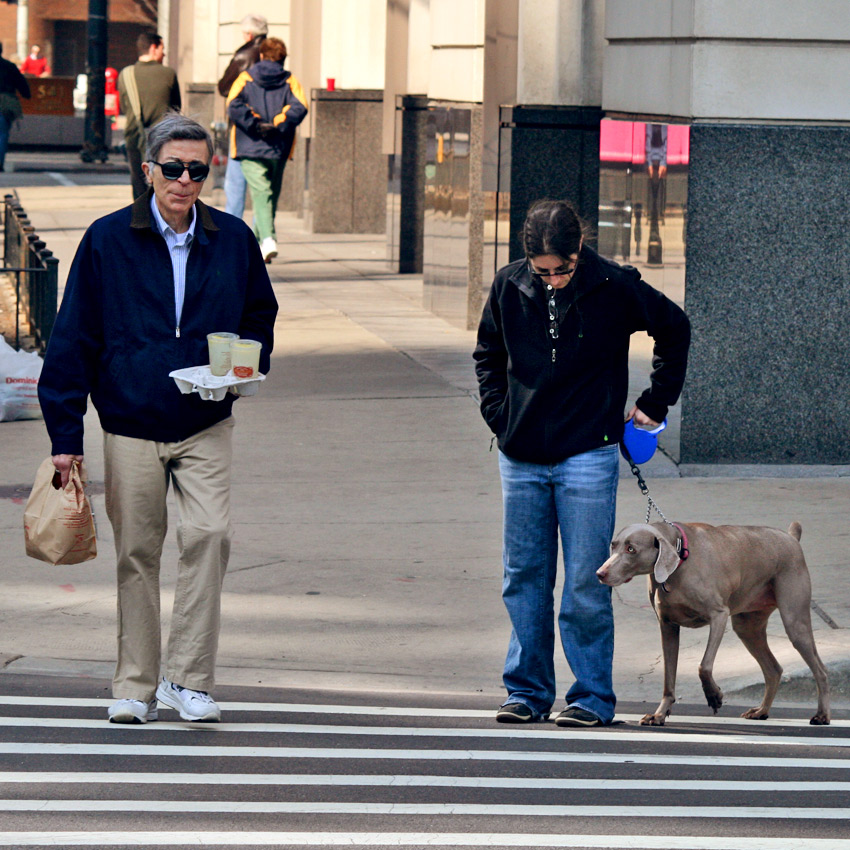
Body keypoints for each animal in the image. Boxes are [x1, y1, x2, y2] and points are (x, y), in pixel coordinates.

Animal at [596, 520, 828, 724]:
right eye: (613, 545)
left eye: (631, 549)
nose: (600, 573)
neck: (679, 561)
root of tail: (791, 537)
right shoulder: (667, 626)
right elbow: (668, 679)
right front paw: (659, 714)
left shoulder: (719, 615)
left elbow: (704, 665)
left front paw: (714, 696)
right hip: (747, 626)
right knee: (773, 669)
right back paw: (761, 711)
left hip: (794, 619)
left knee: (820, 669)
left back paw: (822, 715)